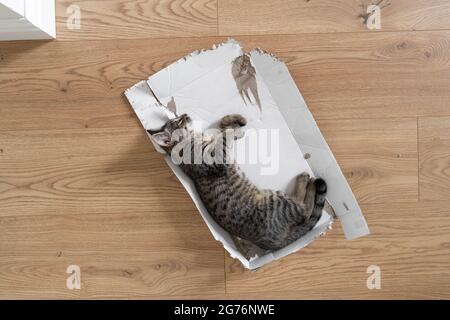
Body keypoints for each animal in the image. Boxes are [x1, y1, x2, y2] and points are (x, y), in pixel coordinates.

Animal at [149, 114, 326, 251]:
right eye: (178, 122)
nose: (185, 114)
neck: (193, 138)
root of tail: (272, 245)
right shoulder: (216, 159)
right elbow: (224, 136)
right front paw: (235, 126)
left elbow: (224, 129)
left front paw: (235, 122)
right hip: (277, 199)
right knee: (305, 211)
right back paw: (307, 181)